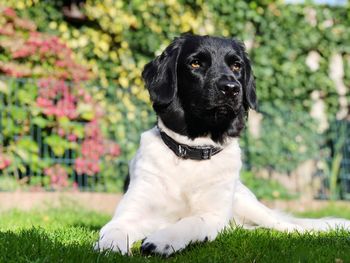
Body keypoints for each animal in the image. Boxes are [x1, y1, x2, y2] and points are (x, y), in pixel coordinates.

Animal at [95, 34, 350, 256]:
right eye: (195, 63)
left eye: (237, 66)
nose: (231, 88)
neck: (192, 153)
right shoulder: (132, 211)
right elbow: (115, 228)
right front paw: (111, 244)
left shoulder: (213, 215)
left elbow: (190, 221)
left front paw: (163, 240)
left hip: (249, 204)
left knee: (288, 226)